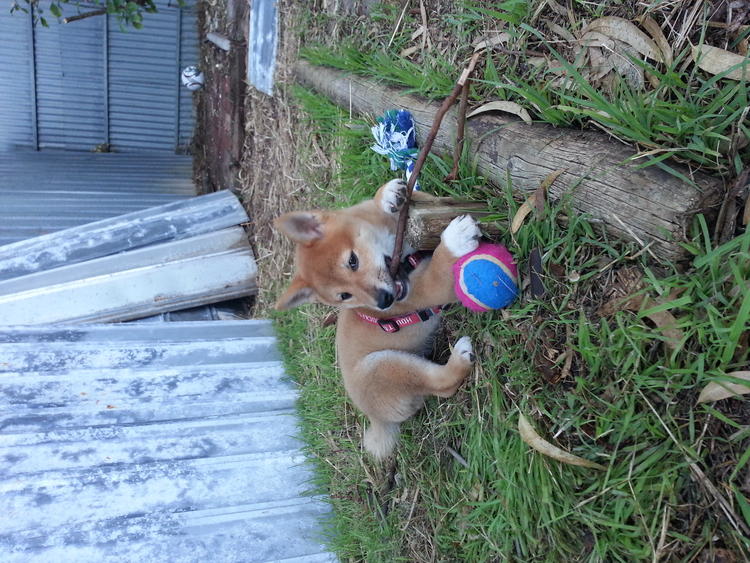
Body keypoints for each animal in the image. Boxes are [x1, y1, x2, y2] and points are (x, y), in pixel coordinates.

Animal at [276, 178, 482, 460]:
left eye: (352, 261)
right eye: (344, 296)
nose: (384, 302)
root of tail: (376, 419)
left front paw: (387, 196)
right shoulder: (431, 288)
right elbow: (440, 266)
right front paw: (454, 239)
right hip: (383, 366)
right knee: (443, 386)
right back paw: (460, 358)